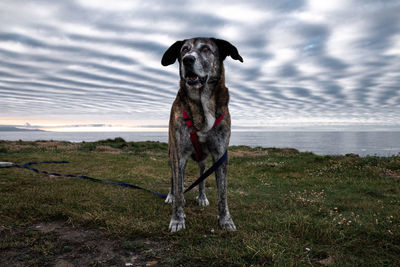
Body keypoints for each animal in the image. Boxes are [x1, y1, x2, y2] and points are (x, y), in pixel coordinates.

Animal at [161, 37, 242, 232]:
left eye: (206, 49)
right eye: (184, 50)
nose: (187, 60)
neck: (201, 105)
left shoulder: (220, 155)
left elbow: (222, 193)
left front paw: (225, 219)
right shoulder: (179, 155)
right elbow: (179, 188)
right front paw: (177, 219)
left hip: (204, 160)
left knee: (202, 177)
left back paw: (202, 197)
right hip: (171, 153)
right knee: (175, 180)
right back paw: (171, 195)